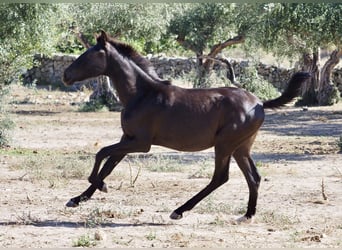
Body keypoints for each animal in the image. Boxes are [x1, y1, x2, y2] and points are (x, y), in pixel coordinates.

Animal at [62, 29, 312, 223]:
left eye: (88, 56)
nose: (65, 75)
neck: (141, 94)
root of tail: (259, 103)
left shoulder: (141, 143)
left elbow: (101, 154)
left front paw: (100, 186)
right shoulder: (128, 139)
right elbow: (108, 164)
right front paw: (78, 198)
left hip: (224, 145)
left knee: (220, 178)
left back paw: (179, 210)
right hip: (241, 147)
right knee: (254, 177)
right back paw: (247, 215)